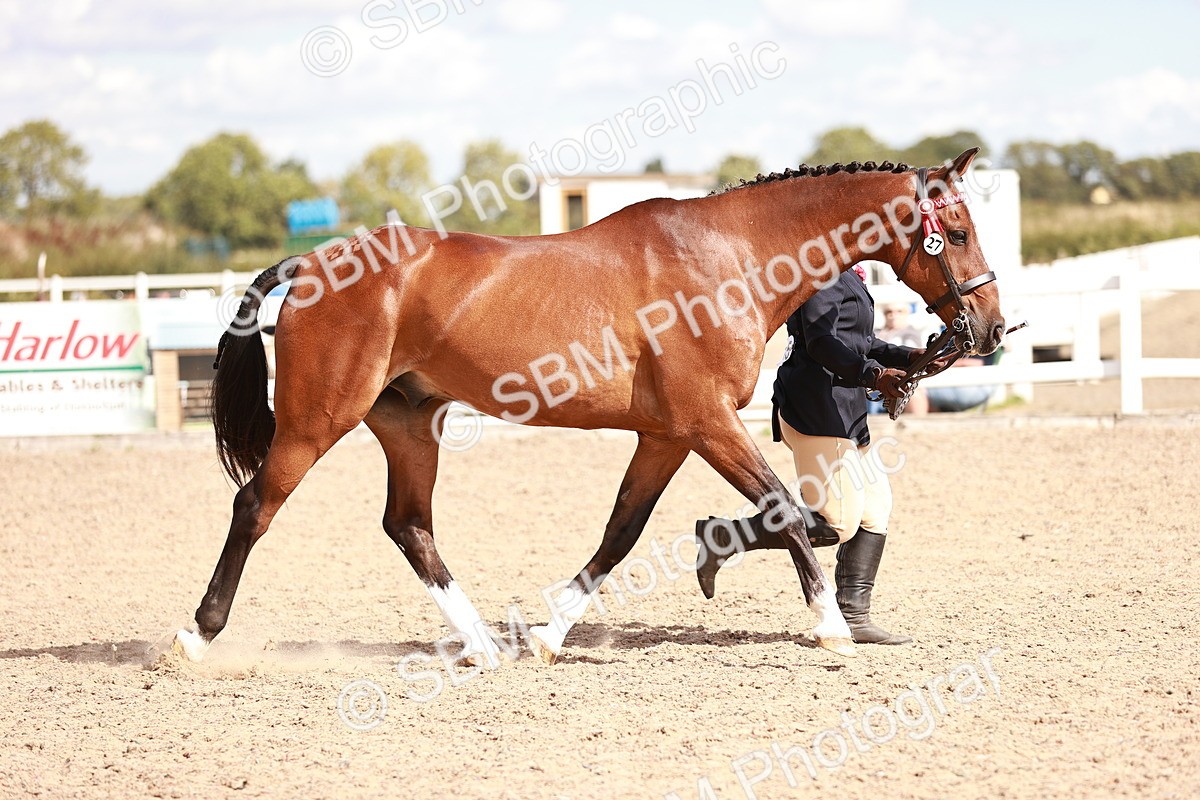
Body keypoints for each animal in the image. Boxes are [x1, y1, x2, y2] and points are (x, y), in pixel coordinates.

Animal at [172, 148, 1004, 666]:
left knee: (408, 526)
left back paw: (485, 647)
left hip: (410, 423)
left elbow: (621, 534)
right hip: (316, 422)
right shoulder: (708, 423)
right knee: (255, 506)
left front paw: (550, 636)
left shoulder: (667, 435)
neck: (730, 257)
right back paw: (196, 637)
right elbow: (787, 511)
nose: (990, 328)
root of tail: (315, 260)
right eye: (958, 231)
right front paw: (832, 629)